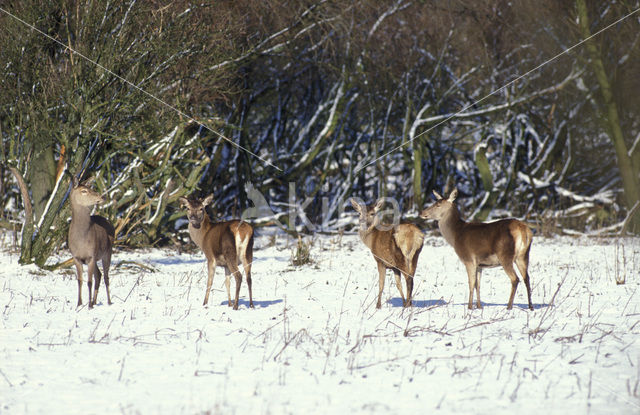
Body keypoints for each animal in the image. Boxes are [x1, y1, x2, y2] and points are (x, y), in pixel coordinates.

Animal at [69, 176, 116, 308]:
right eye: (84, 191)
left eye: (92, 188)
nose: (102, 197)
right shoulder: (76, 257)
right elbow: (80, 280)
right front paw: (79, 304)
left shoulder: (91, 256)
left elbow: (89, 281)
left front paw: (89, 305)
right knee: (99, 275)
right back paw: (95, 301)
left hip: (108, 252)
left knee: (106, 276)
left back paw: (108, 301)